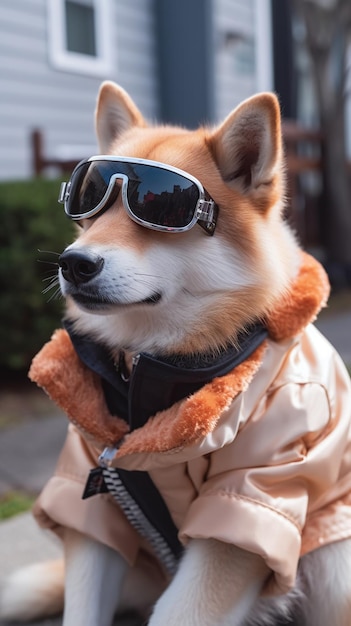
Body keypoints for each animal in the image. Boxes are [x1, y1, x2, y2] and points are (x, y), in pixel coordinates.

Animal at [2, 83, 351, 624]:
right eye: (88, 200)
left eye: (161, 209)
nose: (73, 263)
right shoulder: (95, 498)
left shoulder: (247, 504)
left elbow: (184, 608)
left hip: (334, 560)